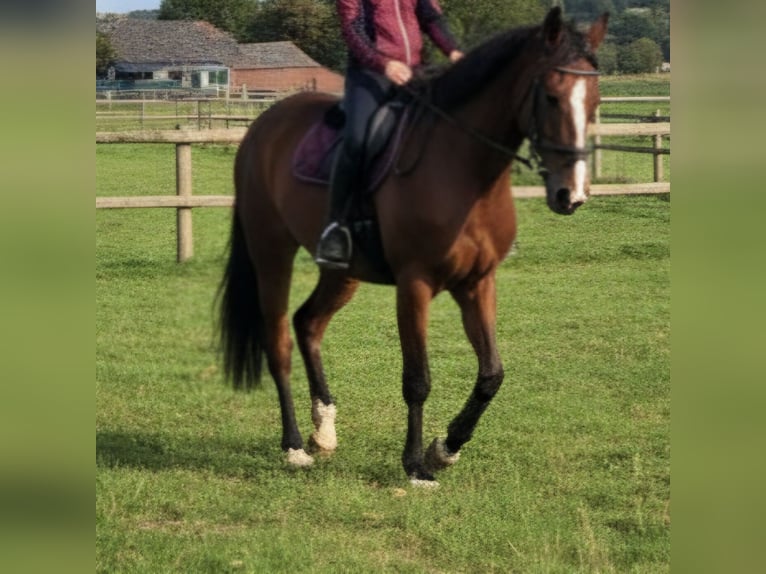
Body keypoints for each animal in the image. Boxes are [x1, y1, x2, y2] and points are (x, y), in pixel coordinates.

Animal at [218, 7, 609, 485]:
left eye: (595, 100)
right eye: (551, 97)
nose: (572, 194)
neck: (463, 170)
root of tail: (263, 125)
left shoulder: (478, 283)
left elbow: (492, 374)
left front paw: (447, 447)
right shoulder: (415, 284)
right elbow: (417, 379)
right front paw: (416, 465)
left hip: (342, 271)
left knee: (307, 323)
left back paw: (324, 430)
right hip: (271, 253)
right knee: (279, 344)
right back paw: (294, 446)